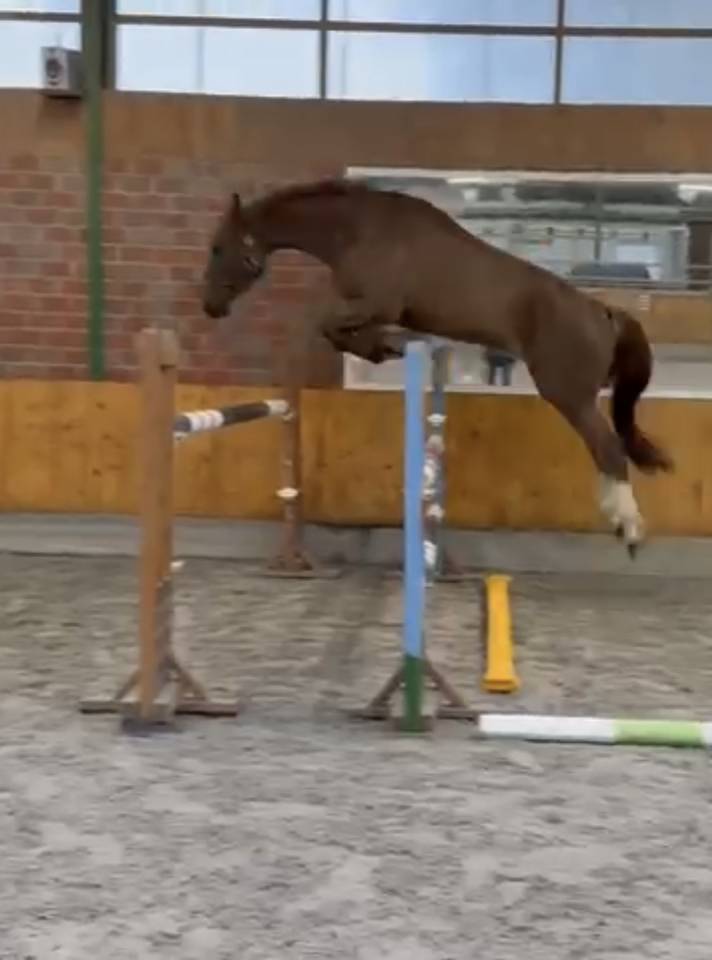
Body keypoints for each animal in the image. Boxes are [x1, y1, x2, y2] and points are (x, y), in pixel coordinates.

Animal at [201, 179, 673, 557]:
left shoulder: (375, 304)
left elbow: (330, 325)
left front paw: (383, 347)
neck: (358, 230)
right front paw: (383, 347)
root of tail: (604, 313)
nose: (210, 306)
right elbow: (339, 331)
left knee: (608, 449)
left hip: (568, 394)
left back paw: (629, 528)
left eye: (219, 248)